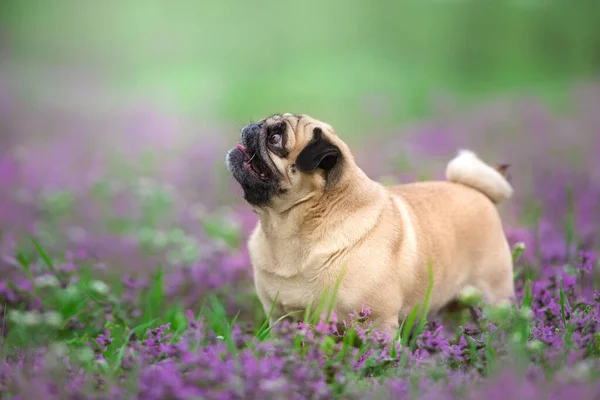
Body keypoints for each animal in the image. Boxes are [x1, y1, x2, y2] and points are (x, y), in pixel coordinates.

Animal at [225, 112, 516, 334]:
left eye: (275, 139)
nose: (254, 127)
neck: (287, 227)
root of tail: (474, 190)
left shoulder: (378, 322)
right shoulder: (280, 318)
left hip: (494, 297)